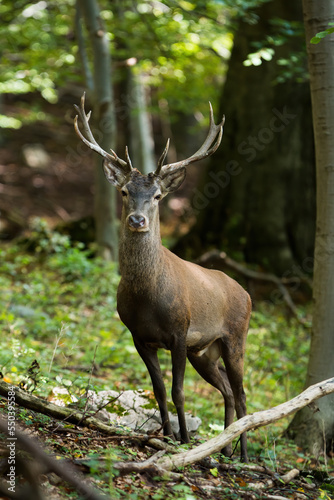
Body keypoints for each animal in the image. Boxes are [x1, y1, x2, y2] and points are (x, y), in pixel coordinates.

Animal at [73, 94, 250, 460]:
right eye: (125, 192)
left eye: (157, 196)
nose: (138, 220)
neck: (147, 299)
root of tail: (248, 293)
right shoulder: (139, 336)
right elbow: (157, 390)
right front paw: (167, 436)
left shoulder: (179, 332)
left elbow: (178, 390)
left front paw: (182, 441)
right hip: (204, 351)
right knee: (227, 390)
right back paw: (223, 449)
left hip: (234, 336)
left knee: (241, 394)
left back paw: (242, 455)